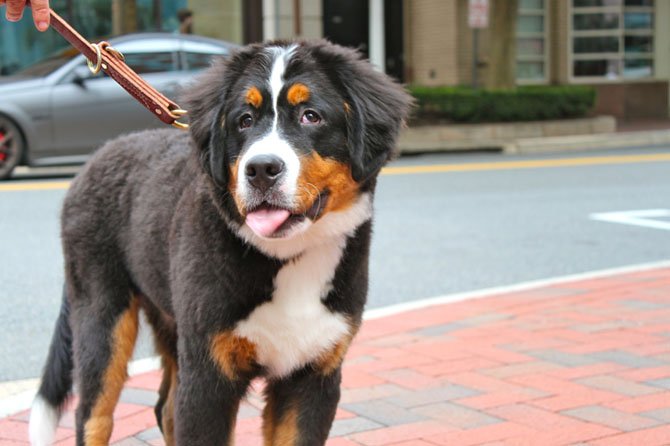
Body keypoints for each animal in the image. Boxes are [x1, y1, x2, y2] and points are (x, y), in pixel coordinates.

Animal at [30, 39, 414, 446]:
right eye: (243, 120)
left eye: (311, 116)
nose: (261, 169)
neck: (288, 258)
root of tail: (97, 156)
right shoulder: (208, 372)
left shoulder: (313, 371)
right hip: (103, 316)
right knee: (94, 415)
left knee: (165, 408)